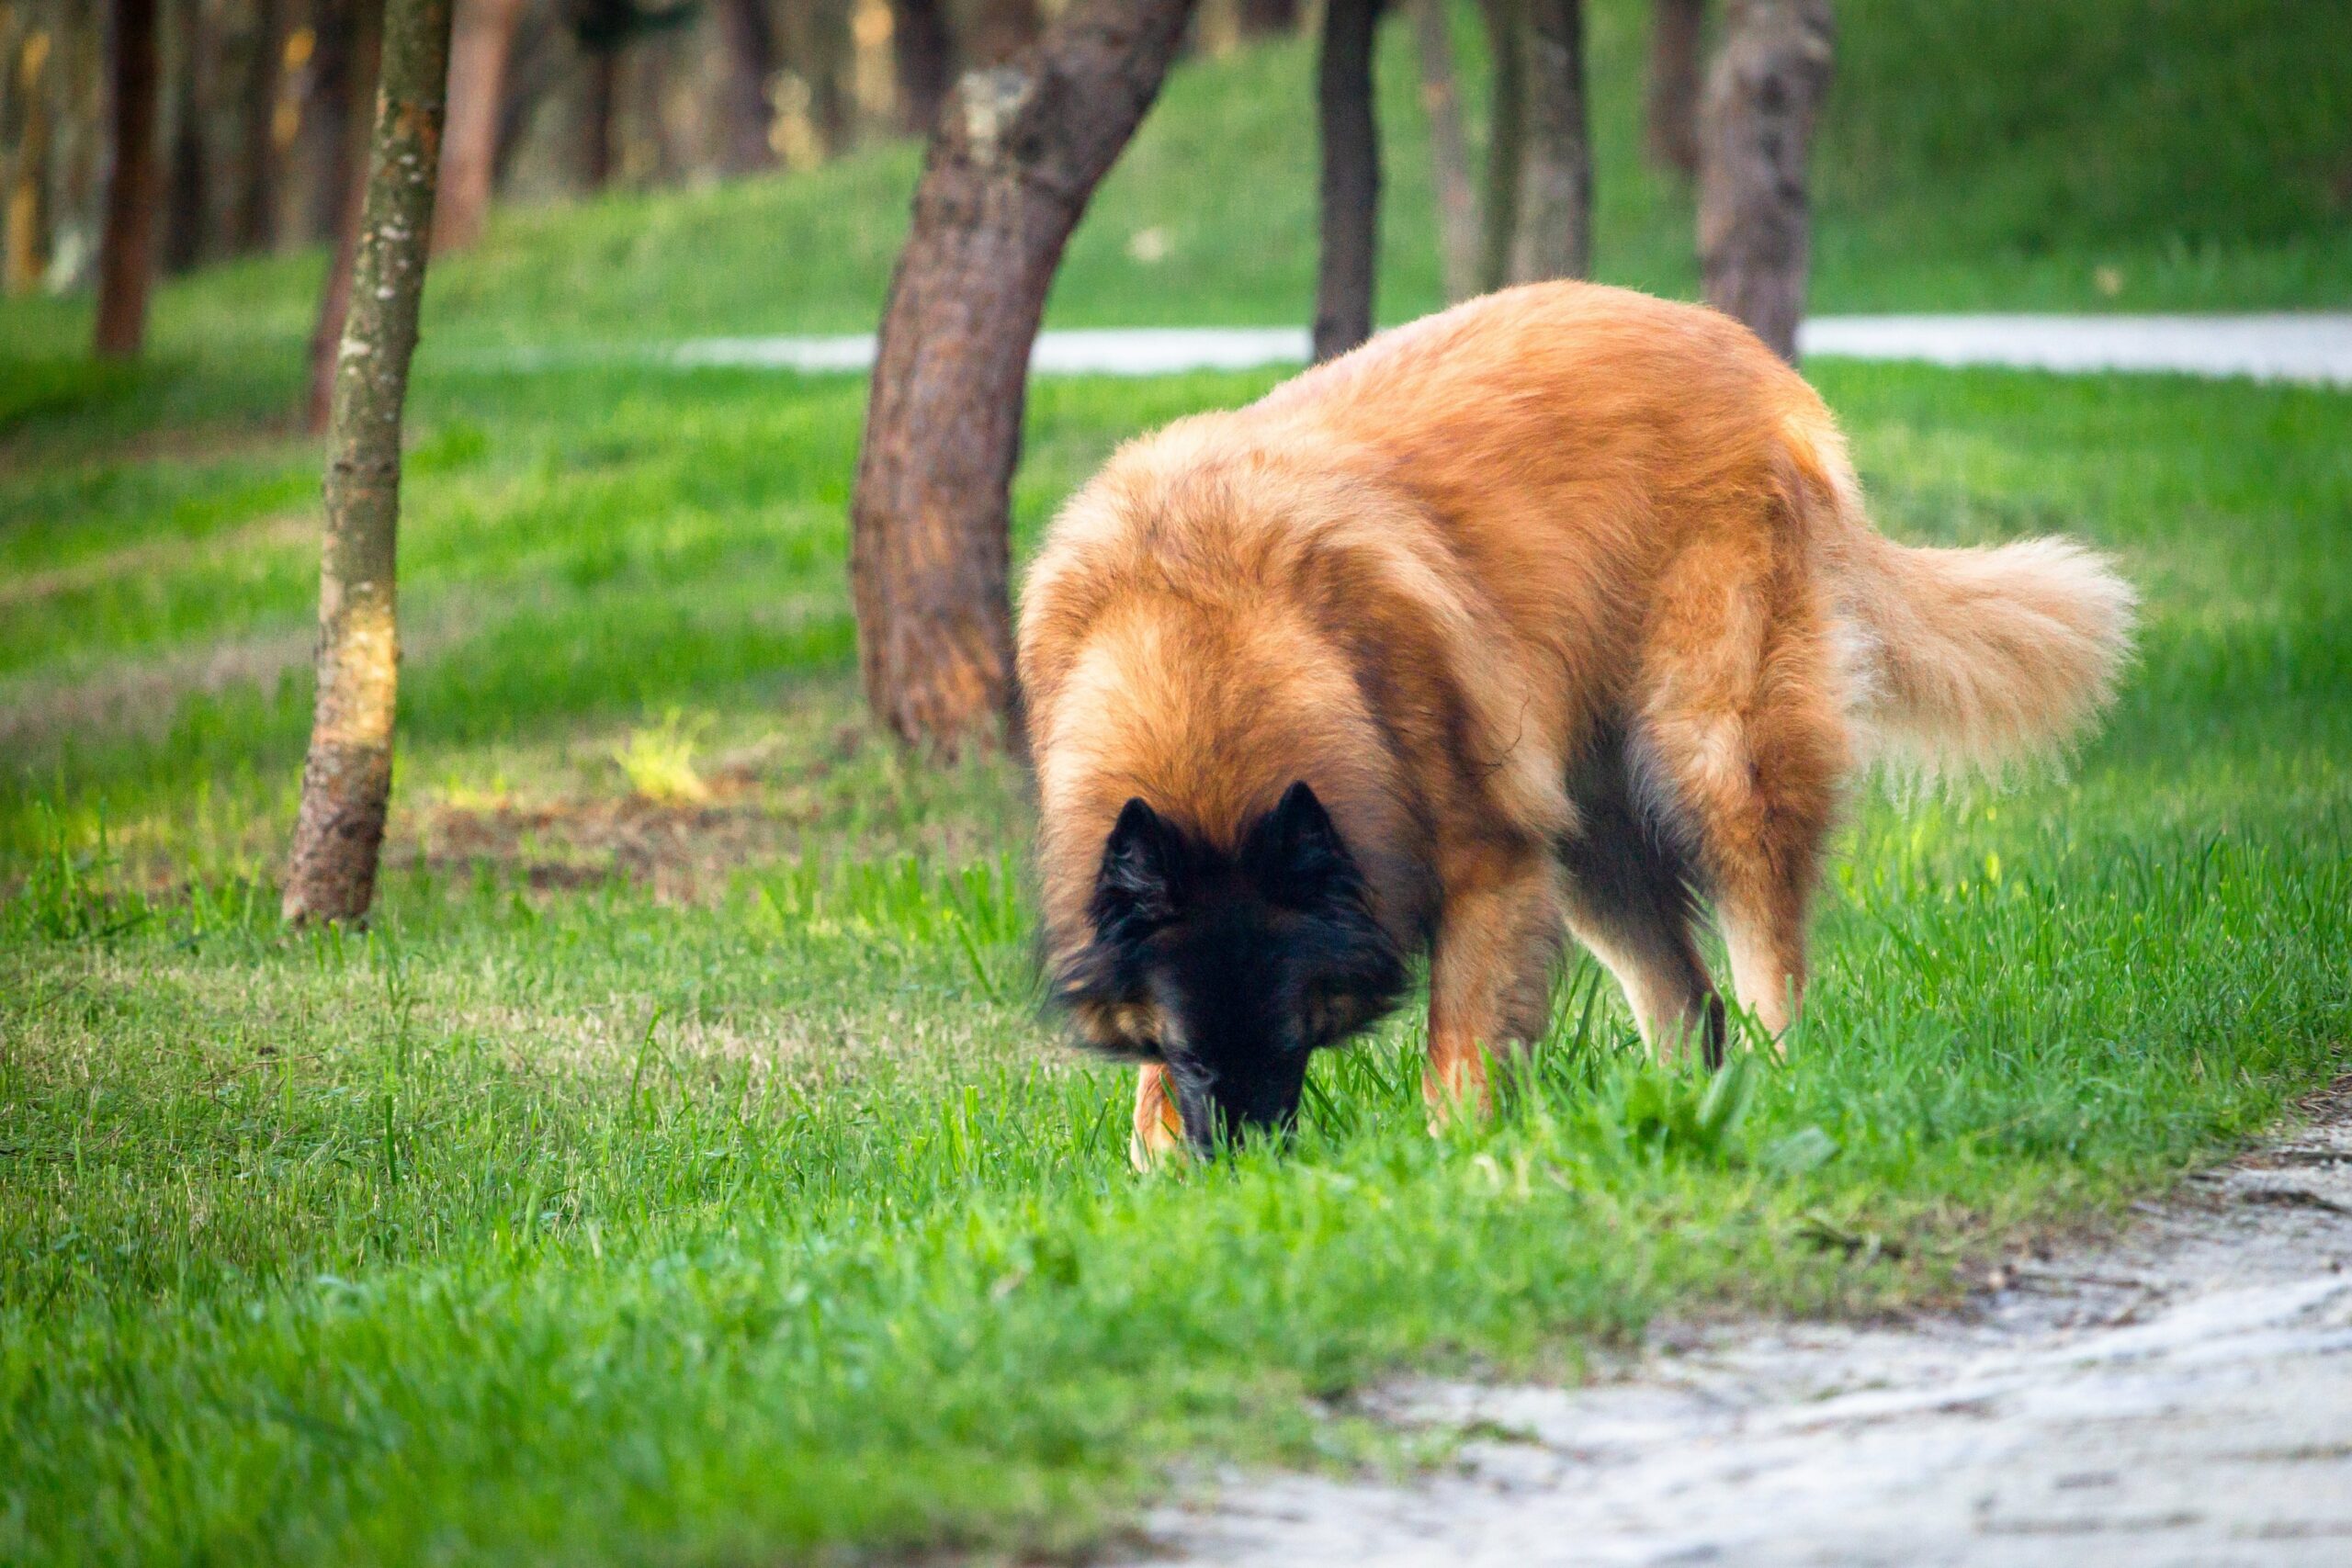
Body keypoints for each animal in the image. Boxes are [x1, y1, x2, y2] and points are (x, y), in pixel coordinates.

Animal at [1011, 285, 2135, 1166]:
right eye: (1191, 1052)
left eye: (1294, 1037)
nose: (1245, 1168)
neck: (1198, 631)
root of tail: (1762, 367)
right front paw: (1159, 1157)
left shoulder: (1488, 860)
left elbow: (1459, 1054)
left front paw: (1455, 1168)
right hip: (1590, 834)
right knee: (1689, 1002)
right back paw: (1686, 1111)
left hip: (1710, 758)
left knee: (1761, 962)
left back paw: (1778, 1088)